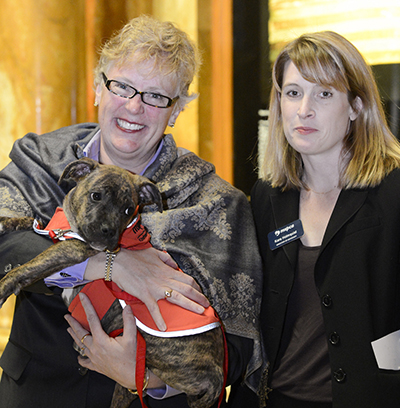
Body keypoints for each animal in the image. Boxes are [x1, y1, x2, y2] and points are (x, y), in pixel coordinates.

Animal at [0, 158, 225, 408]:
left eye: (128, 210)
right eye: (96, 196)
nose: (108, 232)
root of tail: (217, 373)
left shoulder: (75, 248)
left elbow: (30, 265)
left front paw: (4, 286)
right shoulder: (55, 232)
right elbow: (36, 222)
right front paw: (5, 222)